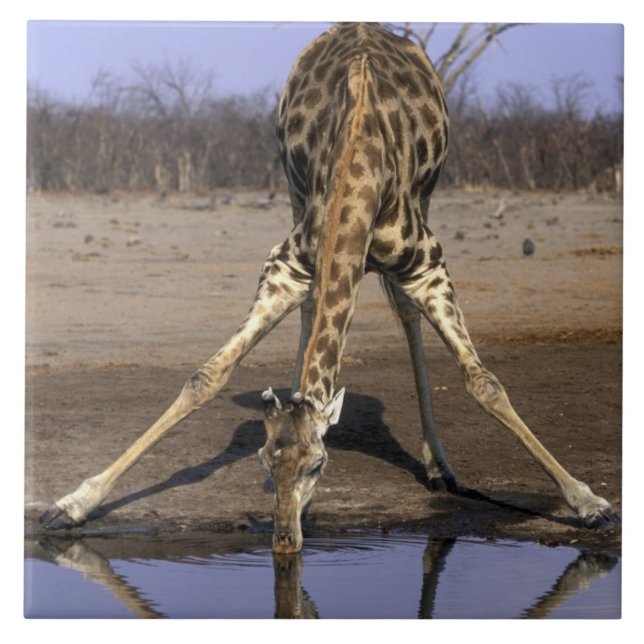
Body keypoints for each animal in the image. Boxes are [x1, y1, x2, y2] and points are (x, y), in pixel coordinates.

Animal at [42, 23, 619, 553]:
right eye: (264, 460)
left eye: (320, 464)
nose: (284, 541)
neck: (360, 163)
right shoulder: (287, 264)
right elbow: (206, 376)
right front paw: (71, 504)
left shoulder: (427, 264)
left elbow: (485, 384)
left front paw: (590, 503)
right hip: (293, 190)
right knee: (316, 310)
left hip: (427, 201)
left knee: (406, 315)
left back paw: (439, 467)